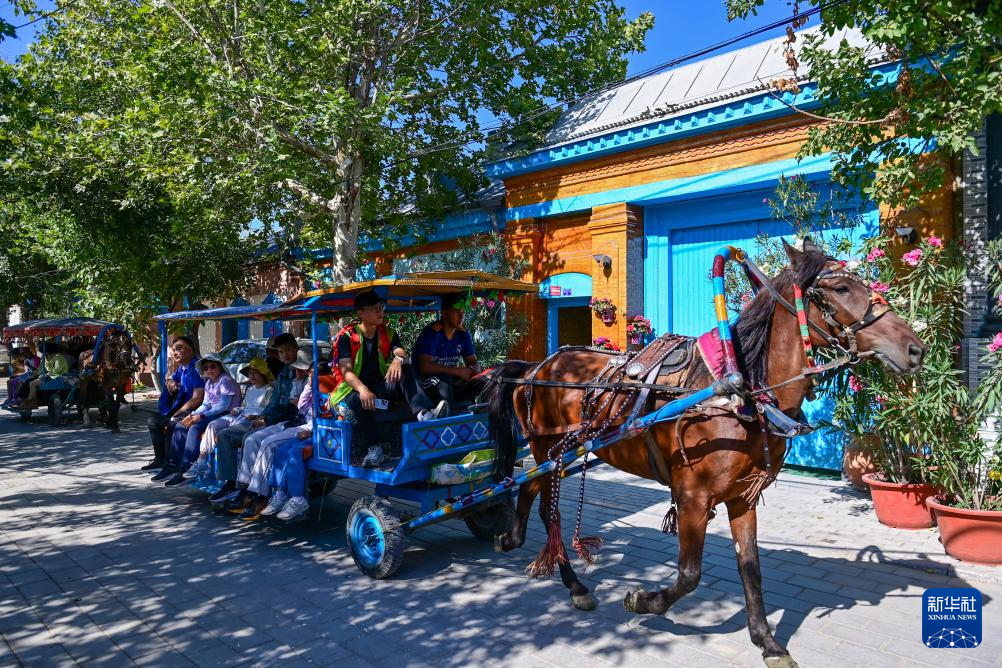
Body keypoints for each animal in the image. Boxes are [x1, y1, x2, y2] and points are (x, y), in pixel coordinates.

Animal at [485, 240, 924, 667]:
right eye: (841, 289)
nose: (916, 350)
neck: (739, 393)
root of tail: (536, 367)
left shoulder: (743, 496)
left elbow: (751, 568)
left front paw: (767, 642)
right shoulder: (693, 497)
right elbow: (689, 574)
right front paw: (643, 601)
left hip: (559, 451)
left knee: (529, 491)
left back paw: (514, 539)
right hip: (548, 447)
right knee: (548, 509)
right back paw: (572, 582)